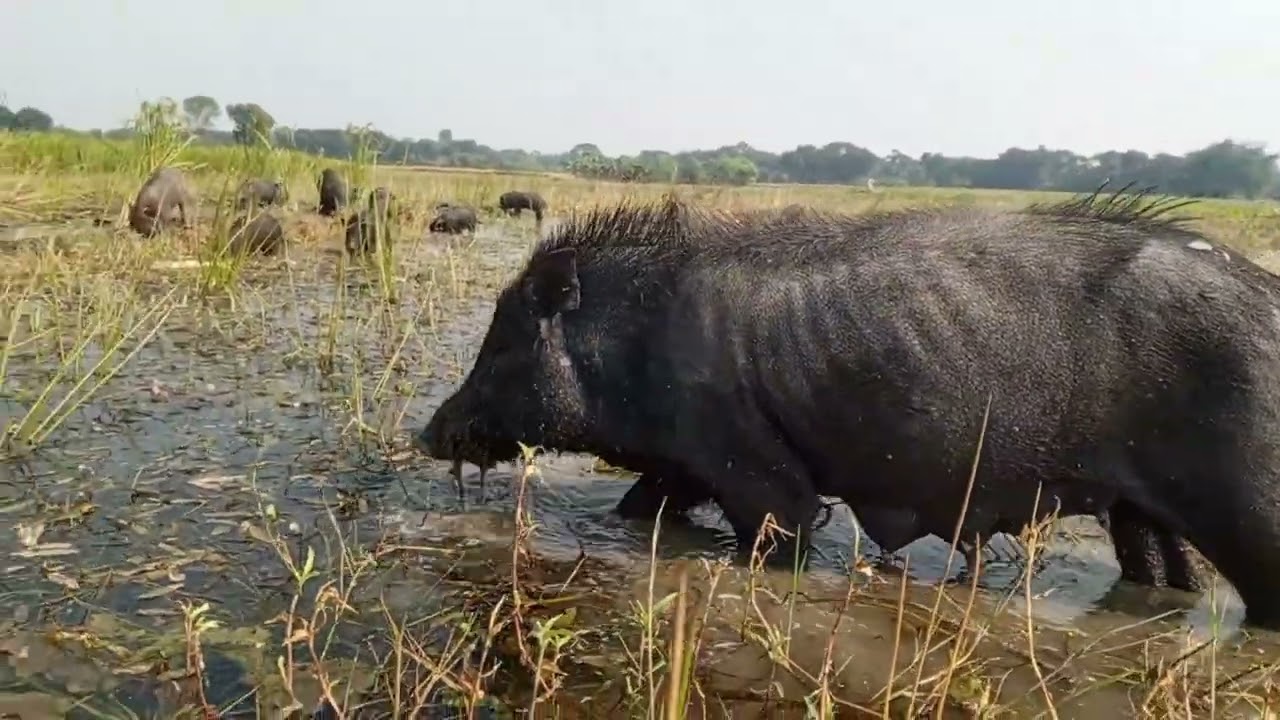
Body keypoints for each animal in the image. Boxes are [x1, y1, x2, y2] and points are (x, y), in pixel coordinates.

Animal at [417, 192, 1280, 629]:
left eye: (503, 344)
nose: (427, 431)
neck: (637, 345)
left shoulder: (756, 470)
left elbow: (784, 535)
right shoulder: (685, 466)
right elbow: (636, 508)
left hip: (1249, 500)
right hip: (1140, 509)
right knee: (1167, 575)